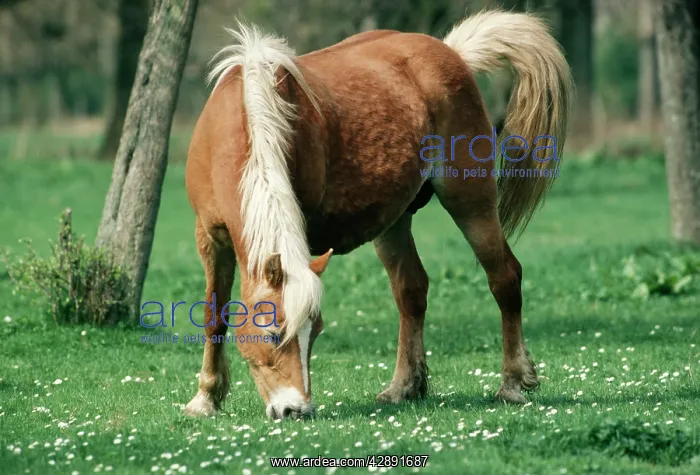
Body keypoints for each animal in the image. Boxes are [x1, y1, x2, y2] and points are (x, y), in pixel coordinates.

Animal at [184, 9, 573, 419]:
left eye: (314, 331)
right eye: (273, 334)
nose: (296, 409)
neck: (252, 119)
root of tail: (452, 53)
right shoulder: (209, 237)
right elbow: (214, 314)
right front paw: (205, 398)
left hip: (471, 201)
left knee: (504, 278)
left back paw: (512, 381)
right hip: (394, 221)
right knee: (411, 291)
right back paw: (404, 386)